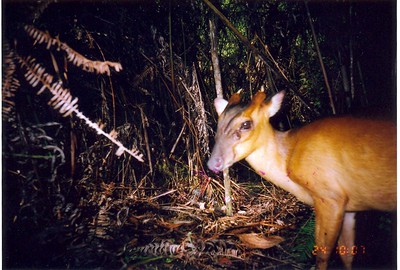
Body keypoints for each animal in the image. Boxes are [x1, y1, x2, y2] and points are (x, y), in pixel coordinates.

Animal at [208, 91, 396, 270]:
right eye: (219, 123)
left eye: (246, 124)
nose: (212, 163)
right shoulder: (349, 207)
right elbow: (348, 254)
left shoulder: (331, 196)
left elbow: (322, 256)